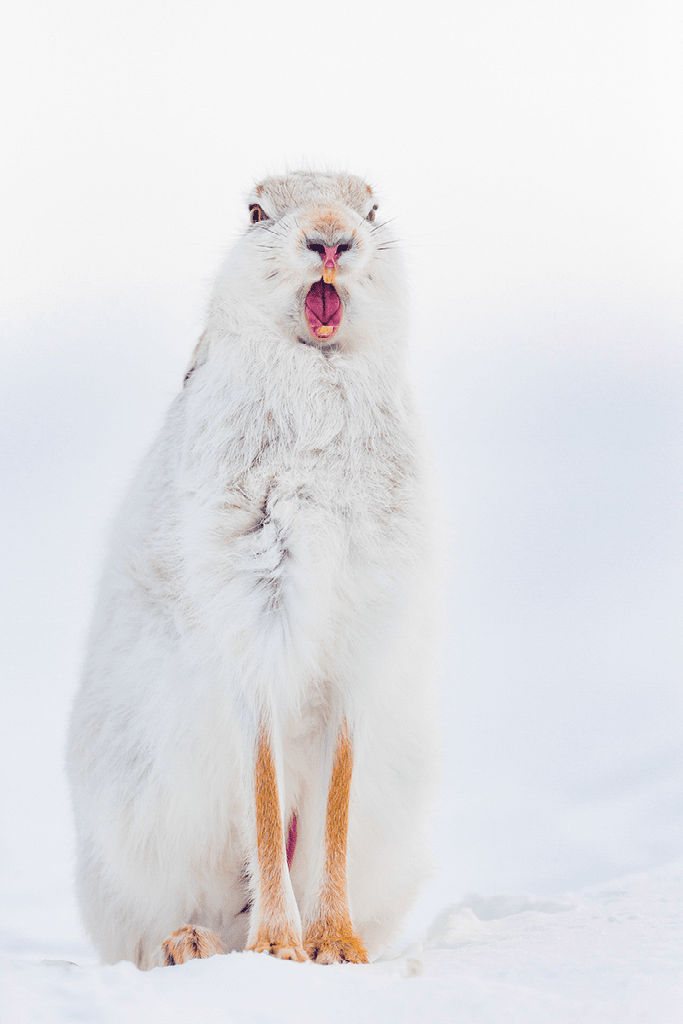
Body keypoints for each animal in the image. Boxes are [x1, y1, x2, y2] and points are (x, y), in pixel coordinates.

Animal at [67, 171, 437, 969]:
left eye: (373, 209)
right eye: (257, 212)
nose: (331, 240)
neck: (317, 369)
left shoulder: (357, 647)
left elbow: (335, 802)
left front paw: (338, 949)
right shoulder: (257, 623)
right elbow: (263, 794)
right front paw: (280, 949)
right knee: (160, 920)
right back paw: (195, 944)